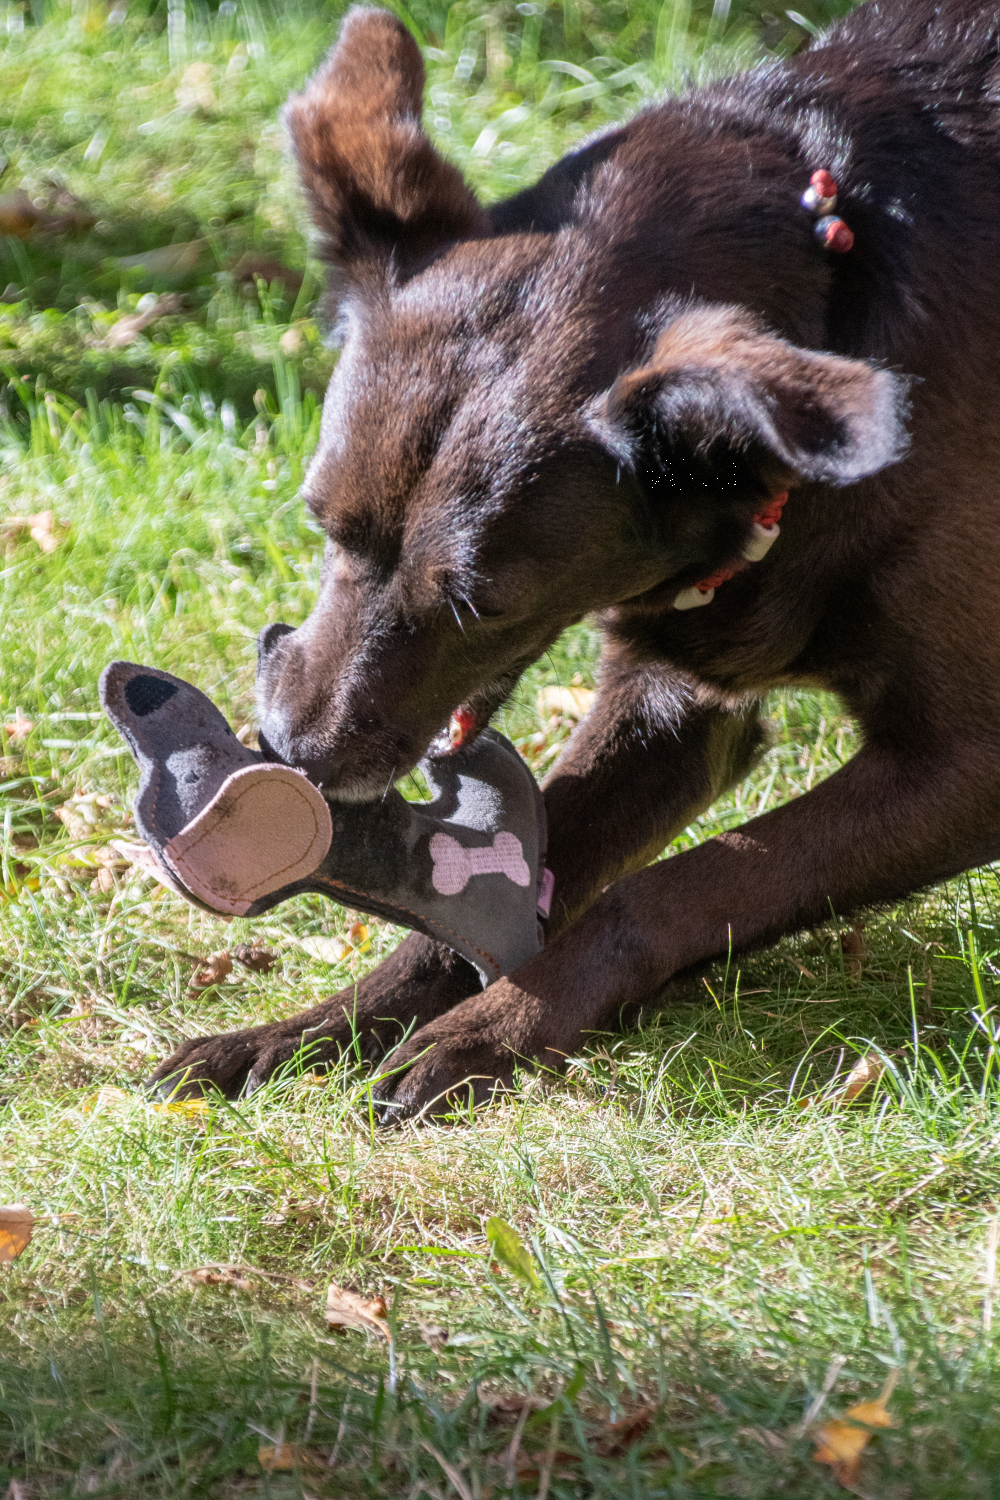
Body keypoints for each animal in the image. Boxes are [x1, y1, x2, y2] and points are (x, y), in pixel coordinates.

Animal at [150, 0, 1000, 1122]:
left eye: (485, 605)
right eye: (321, 521)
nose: (294, 753)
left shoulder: (968, 762)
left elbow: (675, 885)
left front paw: (496, 1026)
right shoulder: (671, 700)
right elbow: (515, 877)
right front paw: (310, 1029)